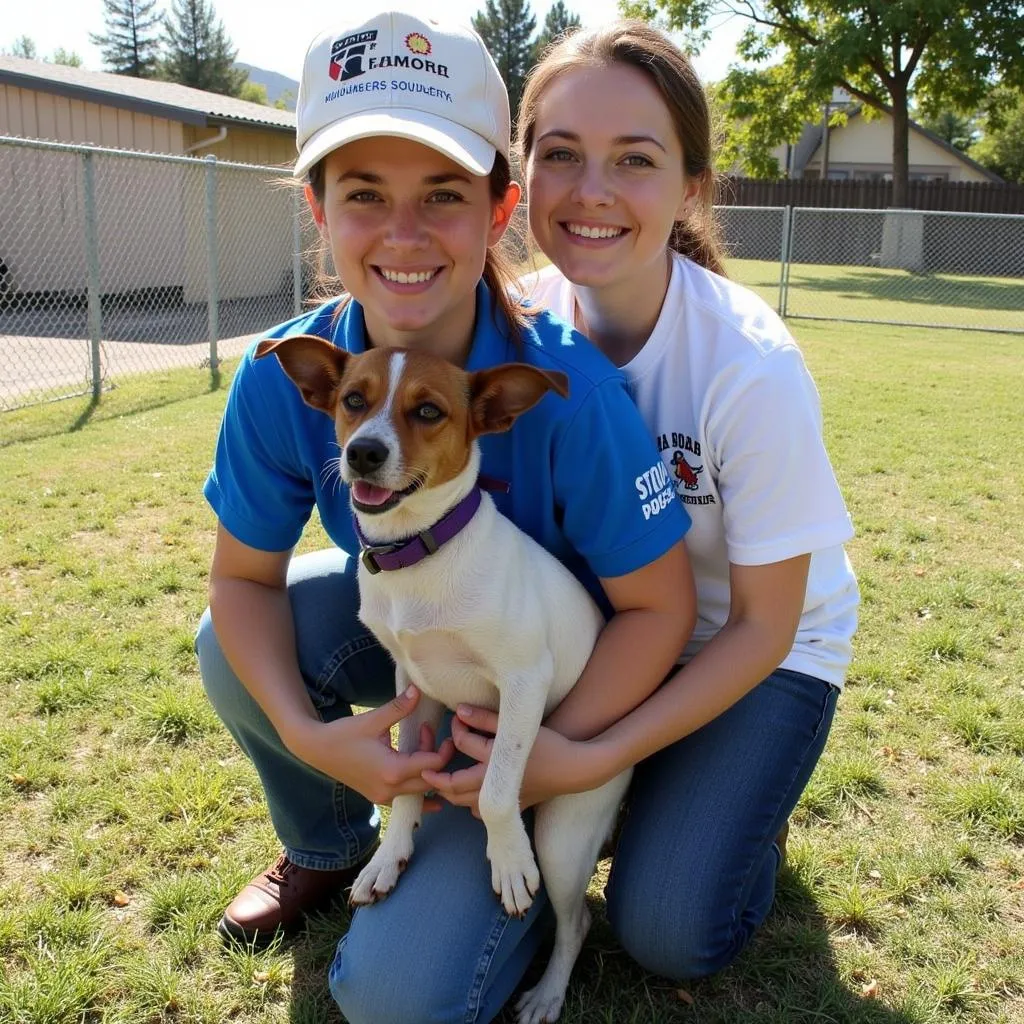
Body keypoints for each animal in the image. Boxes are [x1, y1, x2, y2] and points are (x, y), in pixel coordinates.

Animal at [258, 337, 630, 1024]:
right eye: (354, 400)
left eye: (428, 411)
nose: (363, 452)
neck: (419, 555)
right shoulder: (415, 686)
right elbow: (407, 780)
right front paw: (388, 858)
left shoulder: (523, 681)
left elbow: (496, 791)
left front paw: (507, 863)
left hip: (564, 837)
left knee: (575, 924)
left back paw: (547, 993)